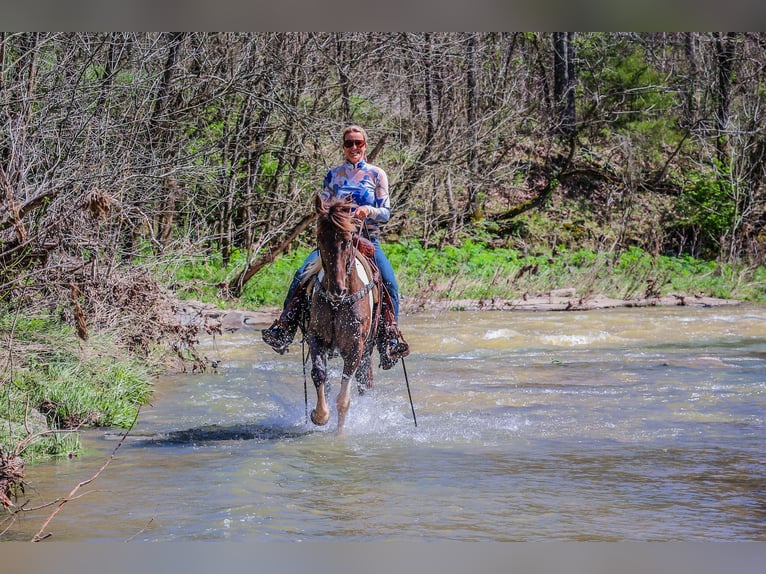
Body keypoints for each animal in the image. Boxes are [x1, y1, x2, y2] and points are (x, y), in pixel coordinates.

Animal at [304, 196, 380, 434]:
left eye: (347, 241)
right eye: (320, 237)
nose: (337, 289)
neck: (338, 303)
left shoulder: (356, 347)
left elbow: (344, 397)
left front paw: (339, 434)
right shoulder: (316, 337)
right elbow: (319, 374)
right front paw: (319, 415)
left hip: (368, 348)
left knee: (364, 382)